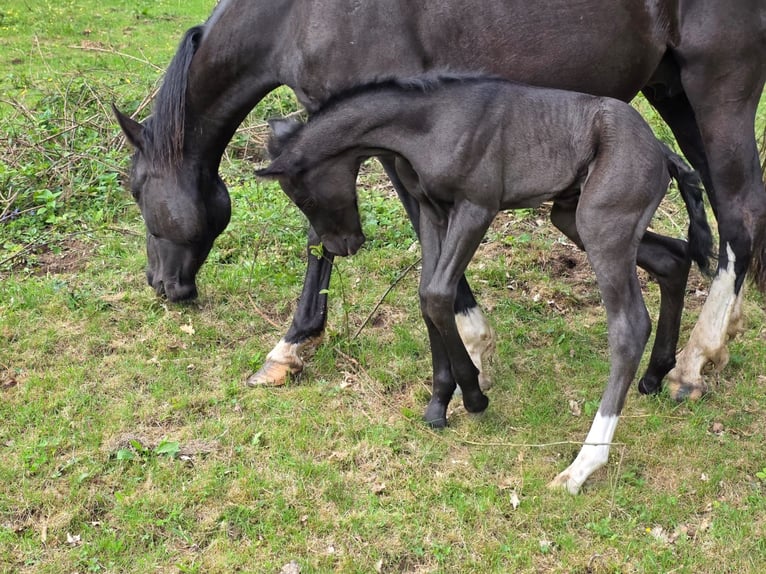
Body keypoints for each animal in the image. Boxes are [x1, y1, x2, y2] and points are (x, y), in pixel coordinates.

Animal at [114, 0, 766, 402]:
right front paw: (296, 345)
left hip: (718, 90)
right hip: (672, 90)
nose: (160, 284)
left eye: (135, 188)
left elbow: (404, 242)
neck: (296, 14)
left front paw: (469, 347)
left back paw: (696, 360)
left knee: (740, 209)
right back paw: (717, 337)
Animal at [255, 73, 714, 493]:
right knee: (674, 258)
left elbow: (438, 294)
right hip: (572, 217)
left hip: (600, 224)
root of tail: (662, 150)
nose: (344, 245)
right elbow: (426, 295)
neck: (428, 123)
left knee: (629, 327)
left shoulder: (477, 207)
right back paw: (655, 374)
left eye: (304, 198)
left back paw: (582, 465)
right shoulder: (432, 211)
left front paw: (474, 394)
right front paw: (439, 401)